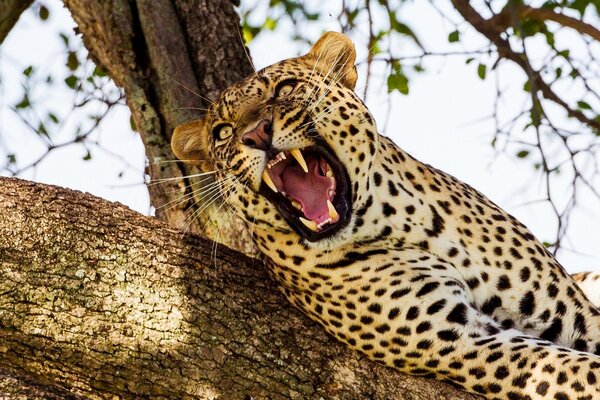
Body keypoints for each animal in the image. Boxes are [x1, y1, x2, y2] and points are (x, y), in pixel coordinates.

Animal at [172, 32, 600, 400]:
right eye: (223, 132)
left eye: (286, 89)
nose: (256, 134)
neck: (400, 215)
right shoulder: (462, 339)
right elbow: (581, 370)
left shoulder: (571, 313)